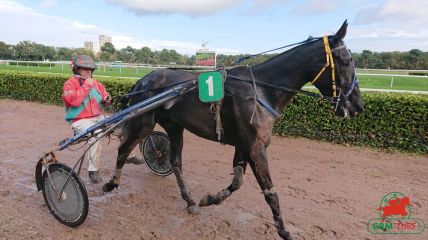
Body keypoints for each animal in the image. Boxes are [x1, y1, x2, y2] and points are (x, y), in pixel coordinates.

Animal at [102, 21, 362, 240]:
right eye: (347, 61)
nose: (358, 106)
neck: (260, 91)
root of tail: (144, 79)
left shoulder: (244, 145)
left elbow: (237, 181)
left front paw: (209, 199)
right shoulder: (255, 147)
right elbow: (270, 191)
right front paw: (284, 231)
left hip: (175, 127)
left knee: (175, 161)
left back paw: (189, 200)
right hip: (143, 122)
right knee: (124, 149)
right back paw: (110, 184)